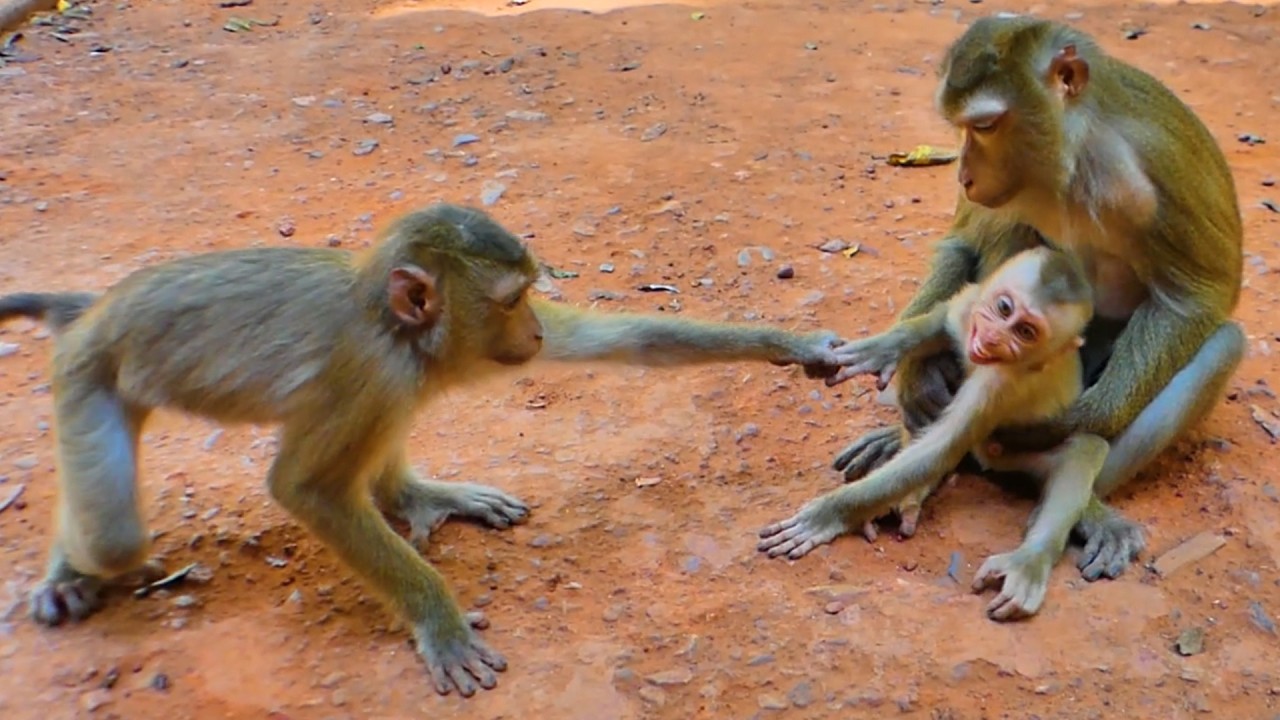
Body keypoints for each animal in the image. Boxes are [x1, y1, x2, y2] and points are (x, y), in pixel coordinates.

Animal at [0, 203, 845, 698]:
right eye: (512, 300)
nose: (532, 332)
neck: (393, 325)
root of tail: (95, 310)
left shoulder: (396, 372)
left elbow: (621, 339)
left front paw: (792, 345)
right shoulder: (368, 371)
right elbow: (307, 489)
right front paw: (439, 621)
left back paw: (417, 495)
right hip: (85, 375)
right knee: (115, 533)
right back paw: (69, 569)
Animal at [759, 245, 1110, 619]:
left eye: (1026, 332)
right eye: (1004, 308)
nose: (993, 338)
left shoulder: (1000, 382)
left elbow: (943, 446)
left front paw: (827, 515)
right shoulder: (971, 310)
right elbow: (940, 320)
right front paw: (882, 349)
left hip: (1010, 456)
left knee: (1084, 448)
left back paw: (1028, 562)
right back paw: (909, 496)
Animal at [829, 15, 1245, 580]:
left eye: (984, 126)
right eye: (961, 128)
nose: (964, 173)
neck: (1074, 159)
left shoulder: (1154, 167)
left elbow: (1196, 296)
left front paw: (1062, 424)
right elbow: (965, 244)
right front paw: (912, 372)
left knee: (1222, 343)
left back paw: (1083, 504)